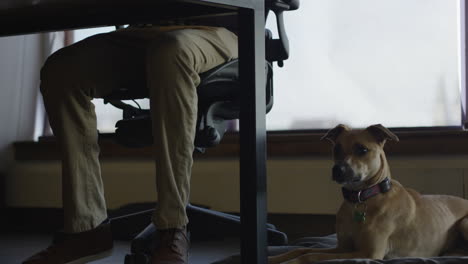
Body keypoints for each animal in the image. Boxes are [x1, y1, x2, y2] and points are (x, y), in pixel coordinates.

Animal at [268, 124, 468, 264]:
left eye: (362, 149)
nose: (337, 170)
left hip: (464, 223)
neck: (361, 198)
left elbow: (310, 256)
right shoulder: (341, 247)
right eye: (336, 149)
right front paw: (274, 257)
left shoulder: (368, 253)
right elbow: (302, 250)